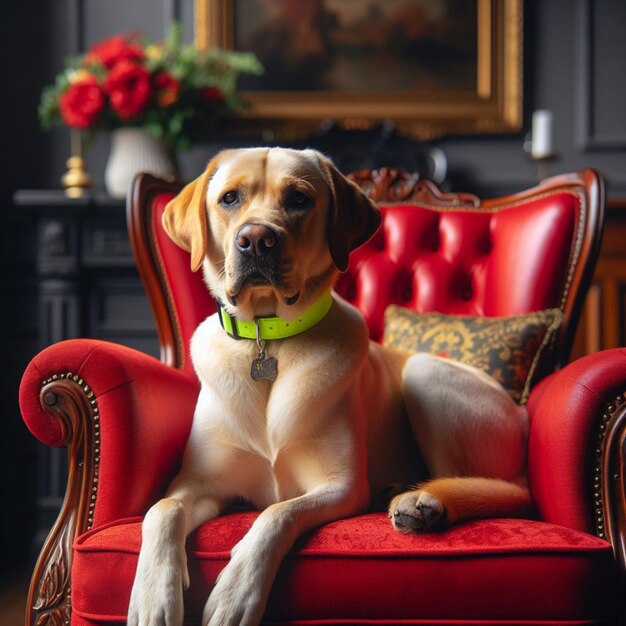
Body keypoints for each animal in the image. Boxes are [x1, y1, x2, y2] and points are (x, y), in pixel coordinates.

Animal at [129, 147, 528, 624]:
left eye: (299, 199)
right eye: (229, 198)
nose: (256, 239)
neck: (269, 339)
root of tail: (521, 412)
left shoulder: (340, 486)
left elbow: (277, 513)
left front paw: (236, 592)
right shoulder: (199, 482)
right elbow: (161, 509)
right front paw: (153, 596)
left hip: (425, 375)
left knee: (496, 487)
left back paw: (422, 501)